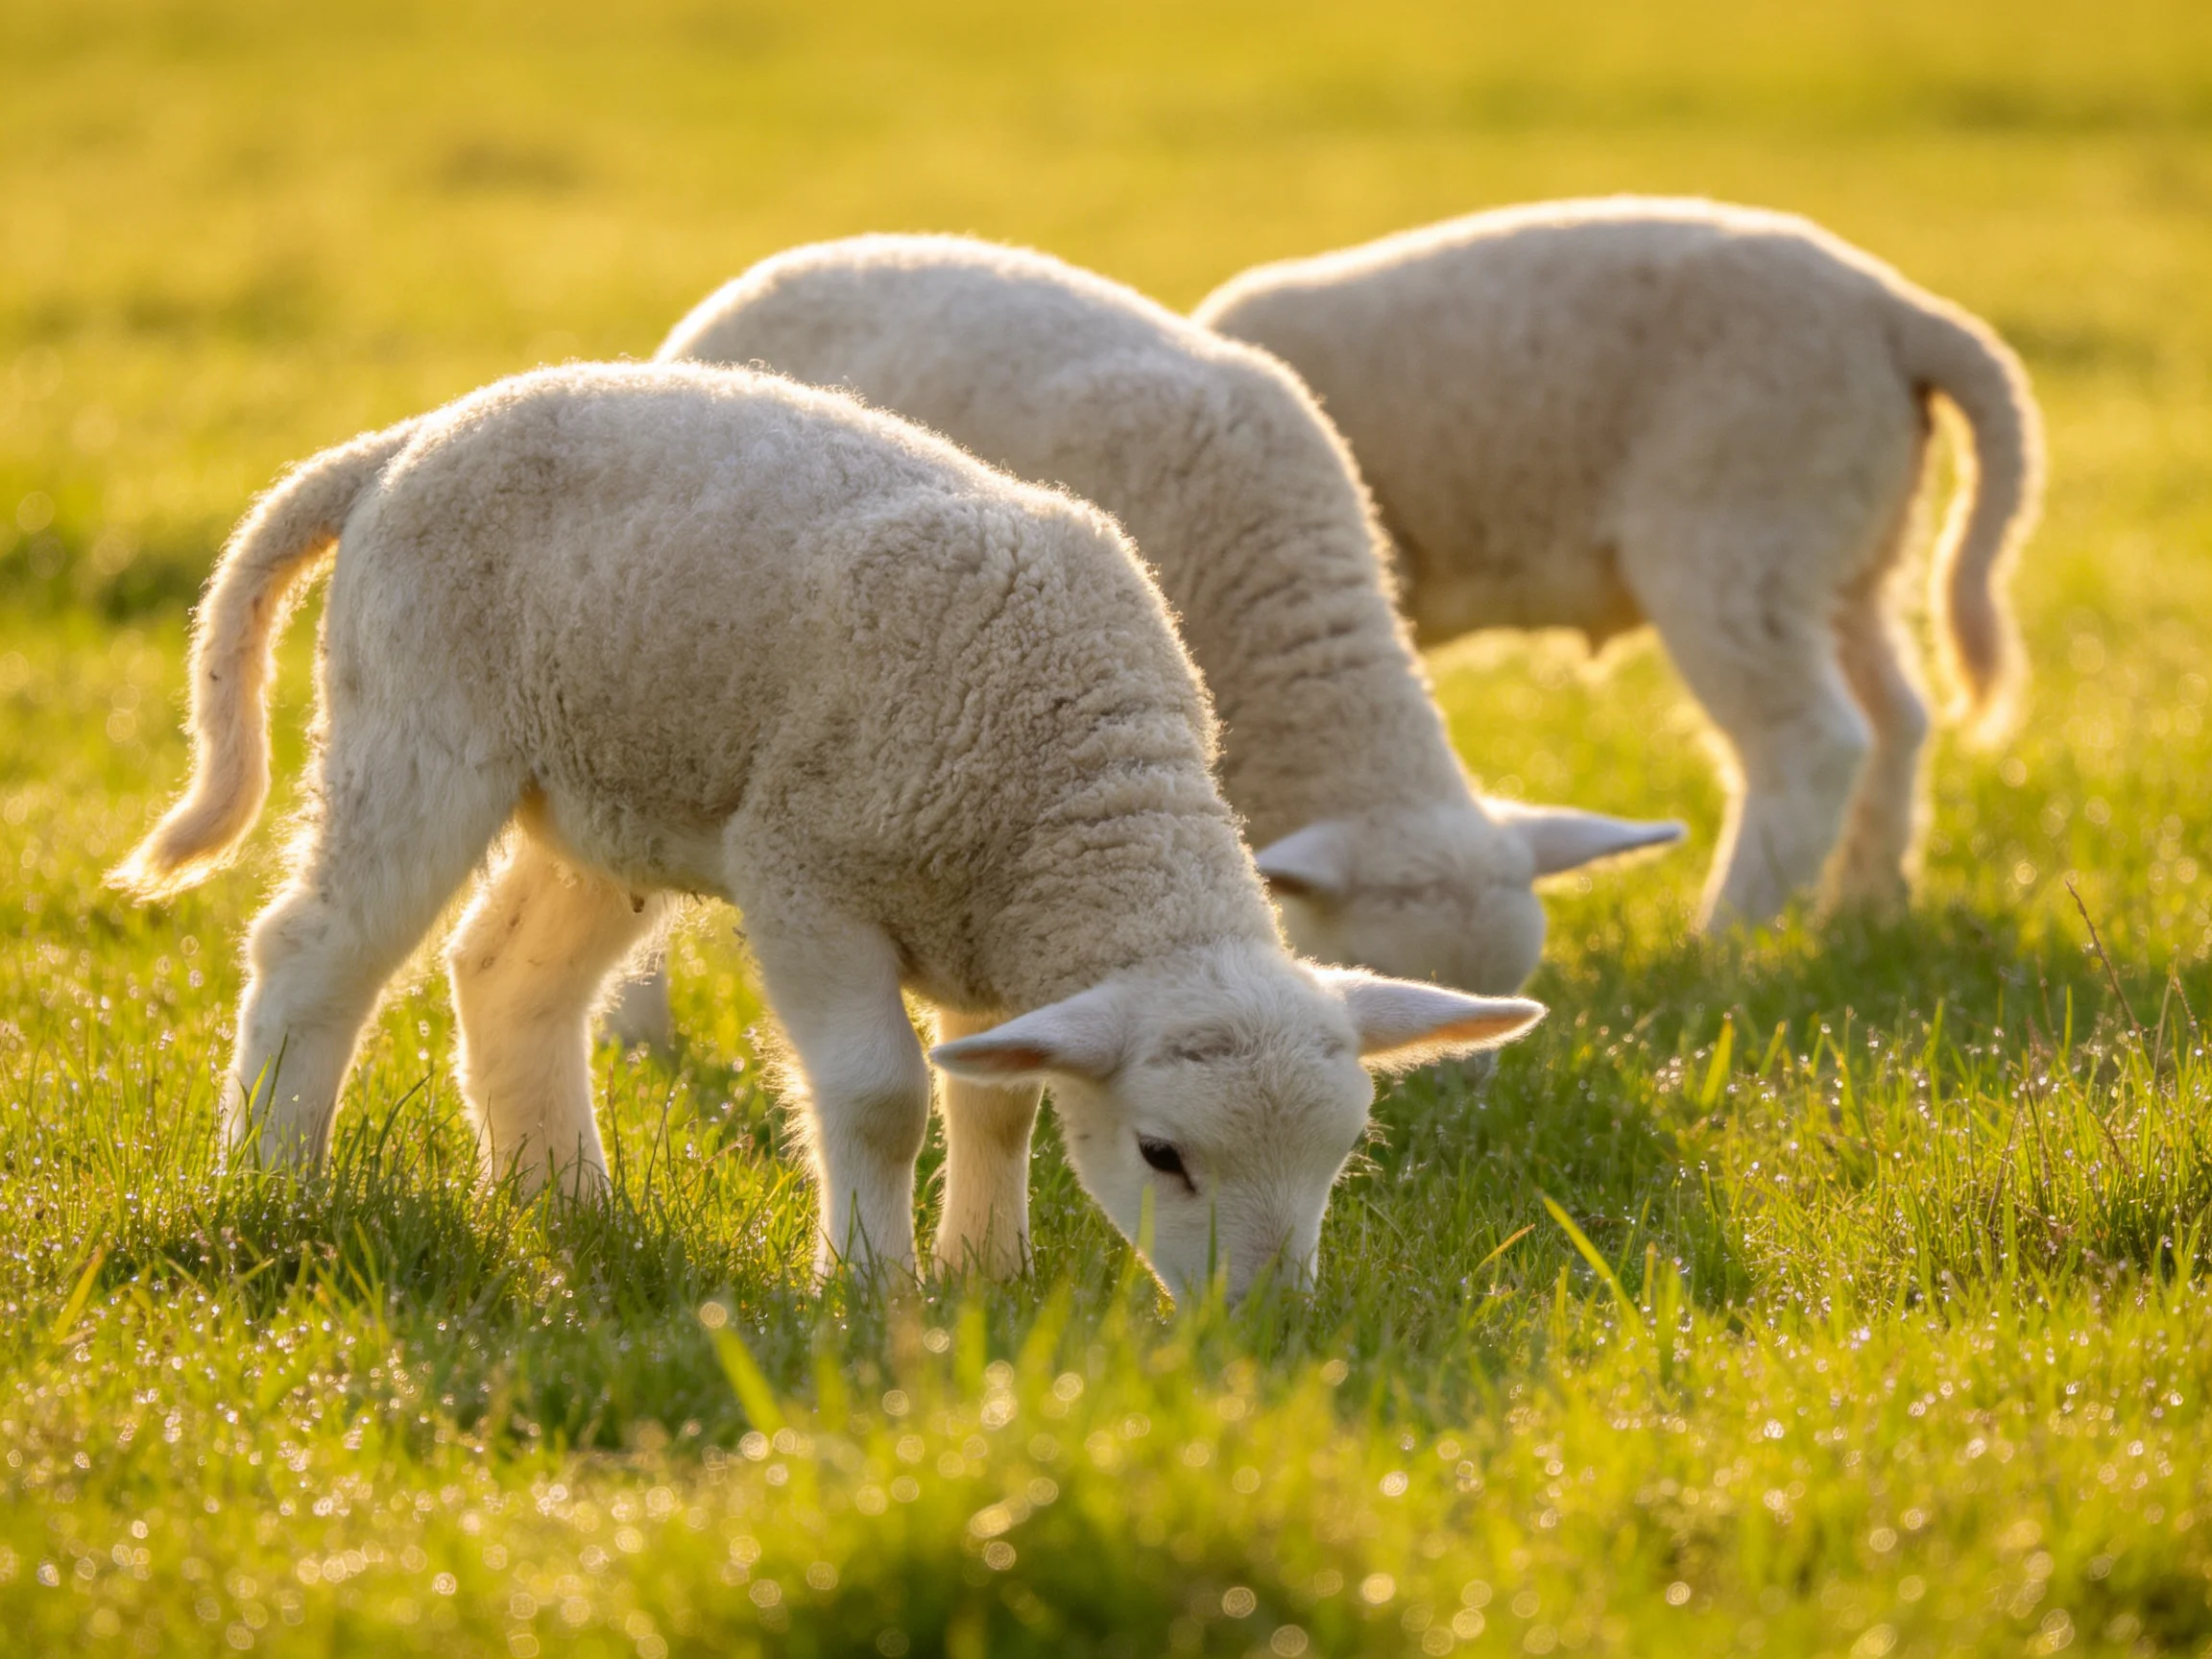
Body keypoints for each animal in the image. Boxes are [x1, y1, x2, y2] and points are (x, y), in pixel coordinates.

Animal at [112, 362, 1544, 1300]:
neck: (1076, 786)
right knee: (315, 951)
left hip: (614, 797)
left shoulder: (996, 936)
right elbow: (879, 1098)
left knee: (508, 974)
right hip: (421, 720)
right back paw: (276, 1181)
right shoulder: (806, 873)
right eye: (1163, 1155)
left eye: (1342, 1155)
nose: (1265, 1330)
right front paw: (871, 1287)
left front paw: (987, 1269)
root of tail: (404, 440)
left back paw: (563, 1200)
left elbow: (996, 1108)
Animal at [1196, 197, 2045, 928]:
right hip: (1853, 556)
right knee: (1899, 718)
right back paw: (1865, 907)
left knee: (1814, 738)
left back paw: (1726, 936)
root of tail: (1897, 313)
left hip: (1740, 527)